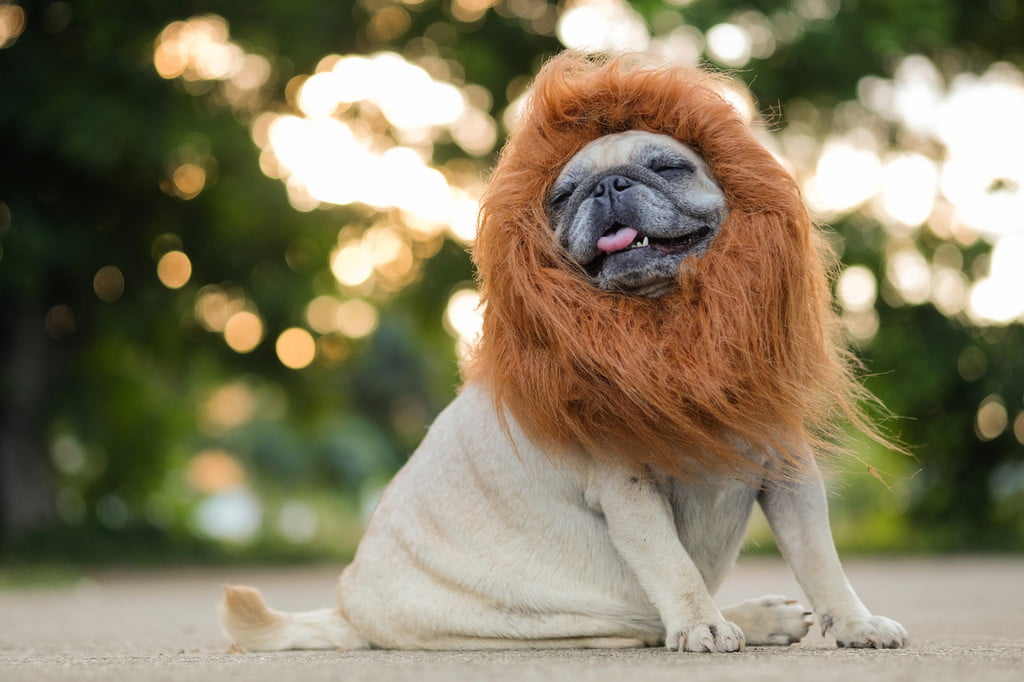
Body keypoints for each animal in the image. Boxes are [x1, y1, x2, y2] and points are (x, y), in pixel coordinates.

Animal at [220, 51, 909, 647]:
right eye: (560, 195)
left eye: (668, 166)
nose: (605, 186)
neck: (667, 334)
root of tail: (348, 611)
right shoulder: (630, 492)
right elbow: (676, 570)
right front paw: (703, 627)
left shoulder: (788, 471)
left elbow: (822, 562)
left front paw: (855, 623)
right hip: (565, 617)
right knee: (644, 620)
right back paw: (738, 620)